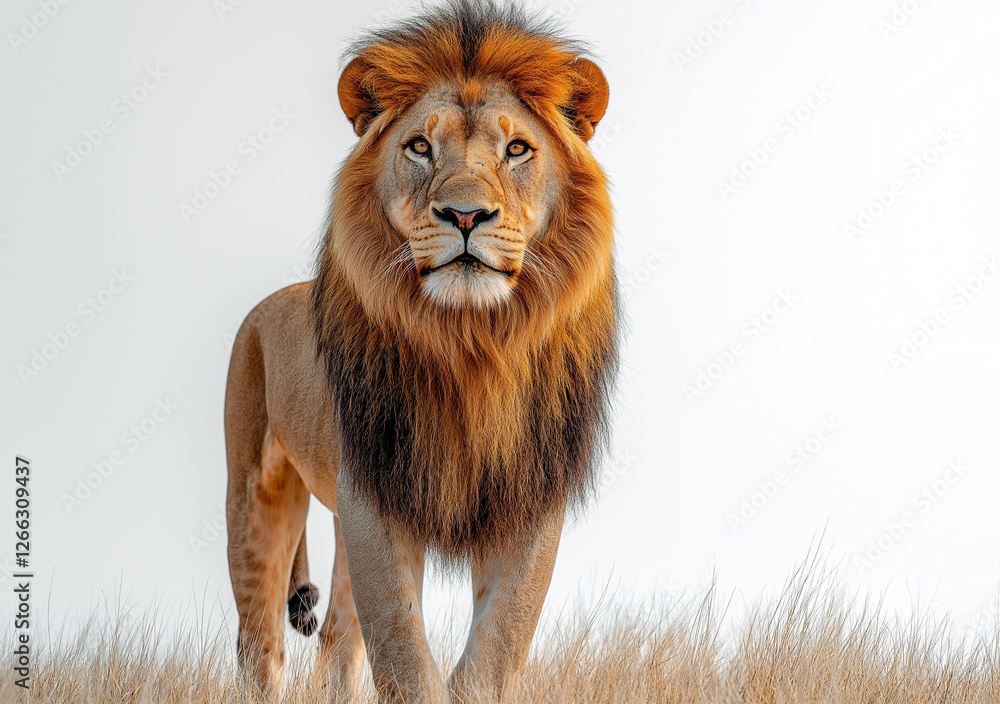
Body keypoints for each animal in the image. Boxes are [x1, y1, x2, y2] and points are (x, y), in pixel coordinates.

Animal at [225, 1, 618, 701]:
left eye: (517, 148)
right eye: (419, 146)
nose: (465, 215)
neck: (470, 343)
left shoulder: (528, 499)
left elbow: (497, 645)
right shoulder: (374, 502)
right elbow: (402, 645)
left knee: (335, 641)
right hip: (253, 497)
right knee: (260, 644)